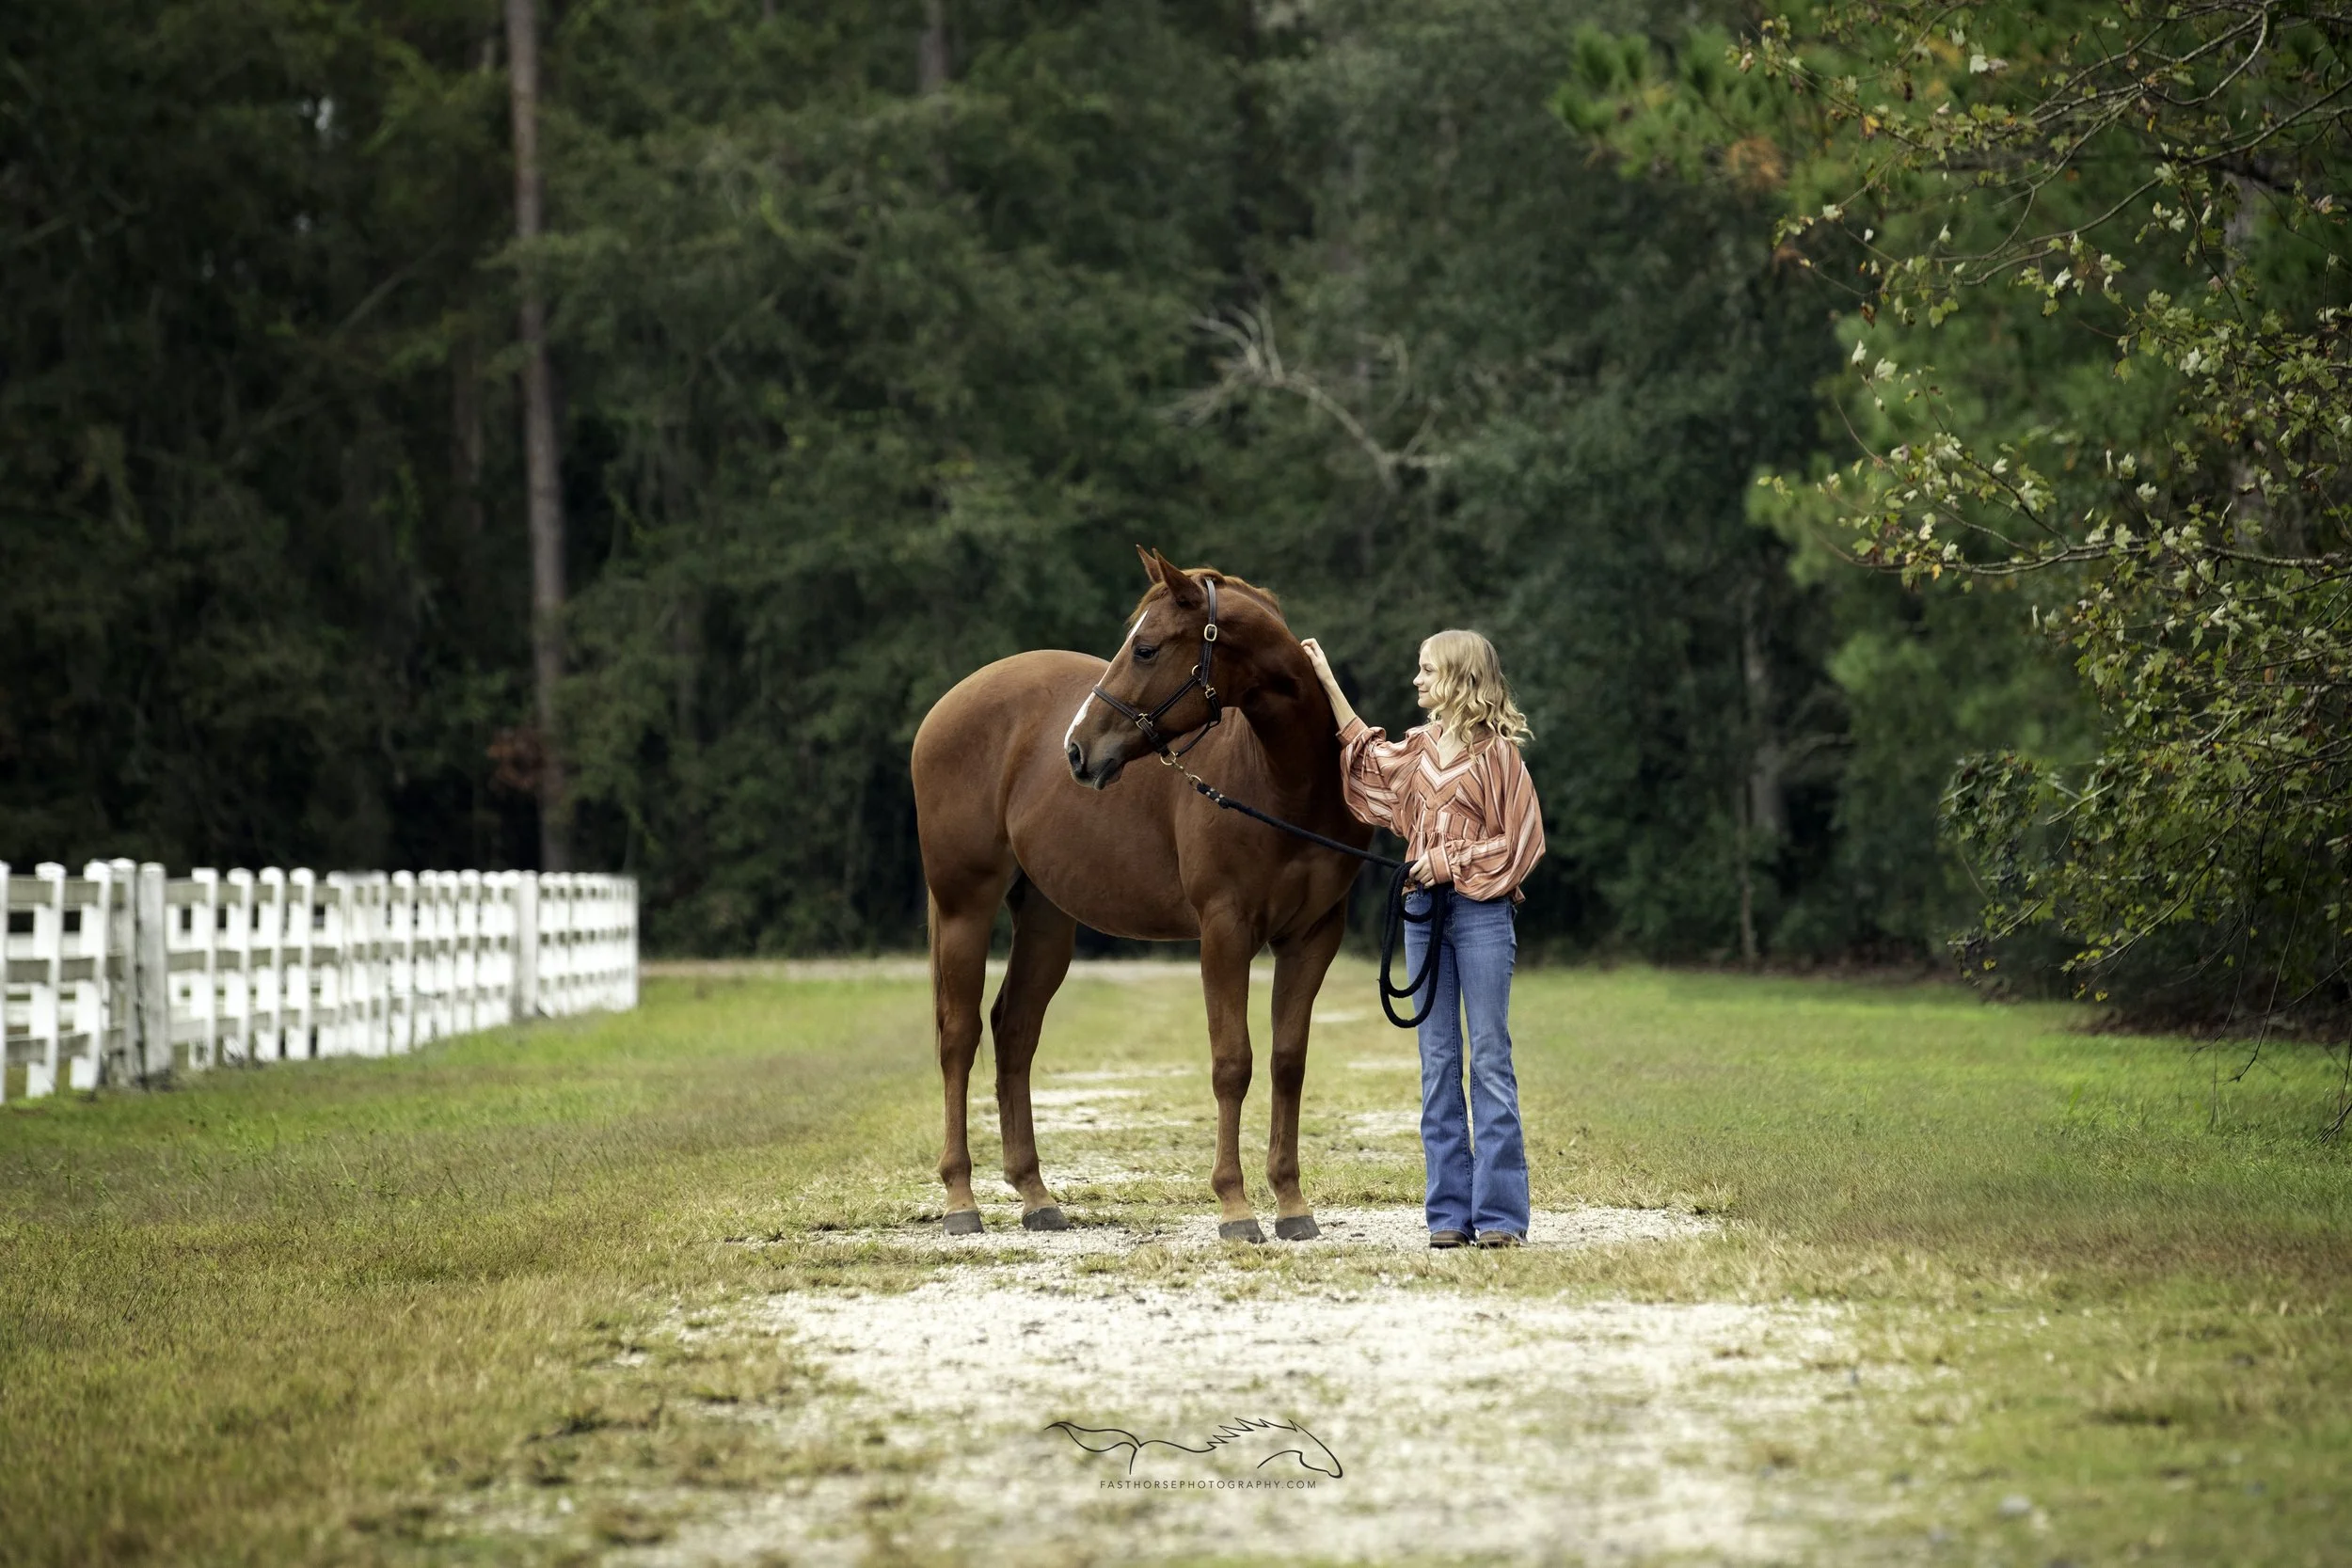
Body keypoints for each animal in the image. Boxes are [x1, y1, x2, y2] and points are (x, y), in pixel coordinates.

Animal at [908, 547, 1370, 1241]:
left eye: (1147, 649)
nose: (1077, 750)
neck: (1280, 779)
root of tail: (946, 707)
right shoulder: (1224, 930)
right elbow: (1232, 1062)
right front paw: (1235, 1207)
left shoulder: (1314, 936)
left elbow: (1288, 1063)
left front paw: (1292, 1204)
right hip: (965, 905)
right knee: (958, 1037)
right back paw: (961, 1199)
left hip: (1045, 919)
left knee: (1014, 1031)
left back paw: (1036, 1195)